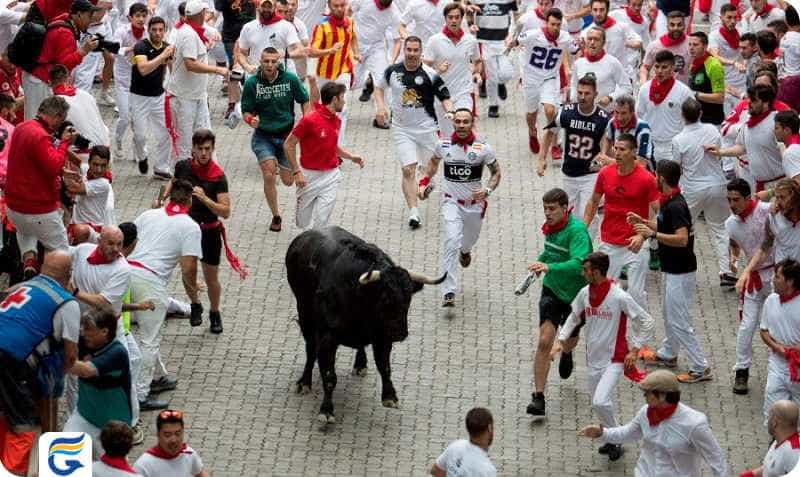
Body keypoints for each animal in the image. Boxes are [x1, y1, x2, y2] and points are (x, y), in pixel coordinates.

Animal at [284, 225, 444, 422]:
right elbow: (329, 376)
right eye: (385, 298)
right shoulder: (327, 336)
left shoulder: (382, 337)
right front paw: (326, 411)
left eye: (408, 298)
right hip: (304, 311)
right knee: (310, 347)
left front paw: (390, 396)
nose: (400, 333)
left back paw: (360, 364)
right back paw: (304, 382)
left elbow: (384, 367)